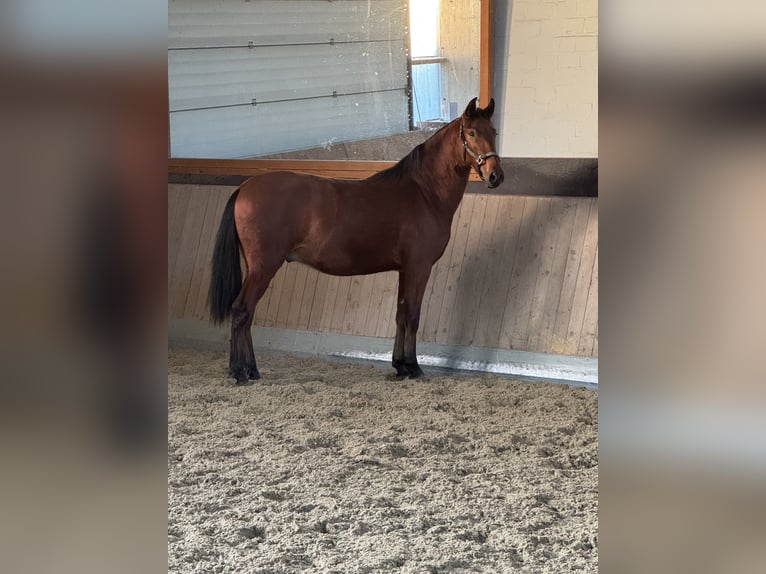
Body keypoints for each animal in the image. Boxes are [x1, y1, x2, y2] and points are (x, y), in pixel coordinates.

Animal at [208, 97, 504, 385]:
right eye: (472, 133)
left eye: (494, 132)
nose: (495, 176)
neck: (423, 192)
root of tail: (245, 188)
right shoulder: (418, 268)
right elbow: (412, 317)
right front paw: (413, 367)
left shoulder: (405, 270)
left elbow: (400, 316)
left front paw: (400, 366)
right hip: (264, 267)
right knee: (241, 311)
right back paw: (239, 371)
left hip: (255, 268)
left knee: (246, 314)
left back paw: (250, 370)